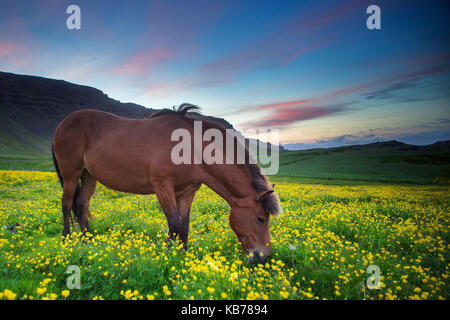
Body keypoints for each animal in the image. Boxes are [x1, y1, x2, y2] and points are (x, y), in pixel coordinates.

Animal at [51, 104, 282, 262]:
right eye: (261, 219)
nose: (265, 256)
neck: (191, 147)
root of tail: (63, 124)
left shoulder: (187, 193)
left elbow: (185, 226)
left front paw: (183, 257)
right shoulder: (163, 187)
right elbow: (174, 223)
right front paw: (166, 255)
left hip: (89, 176)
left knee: (81, 205)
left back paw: (89, 241)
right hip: (71, 175)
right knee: (66, 205)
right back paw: (67, 240)